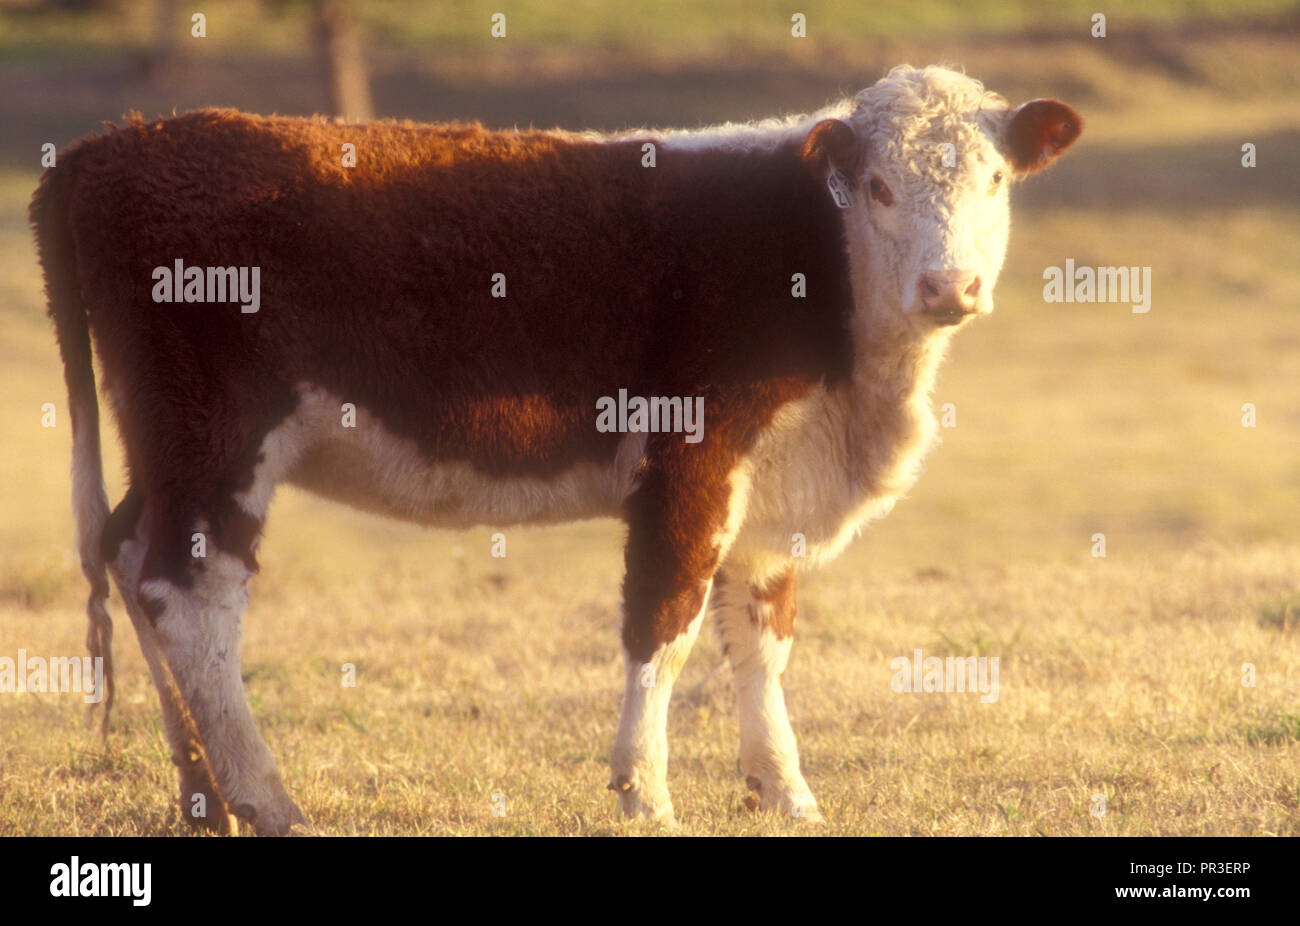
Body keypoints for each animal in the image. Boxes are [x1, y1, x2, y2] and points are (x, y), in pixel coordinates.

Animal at [31, 64, 1081, 834]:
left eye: (994, 181)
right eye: (878, 186)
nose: (951, 287)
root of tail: (112, 144)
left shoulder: (775, 489)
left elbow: (762, 641)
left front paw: (785, 792)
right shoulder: (689, 458)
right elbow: (665, 622)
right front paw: (645, 794)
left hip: (168, 444)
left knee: (131, 556)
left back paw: (200, 791)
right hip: (218, 436)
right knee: (189, 593)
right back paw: (265, 797)